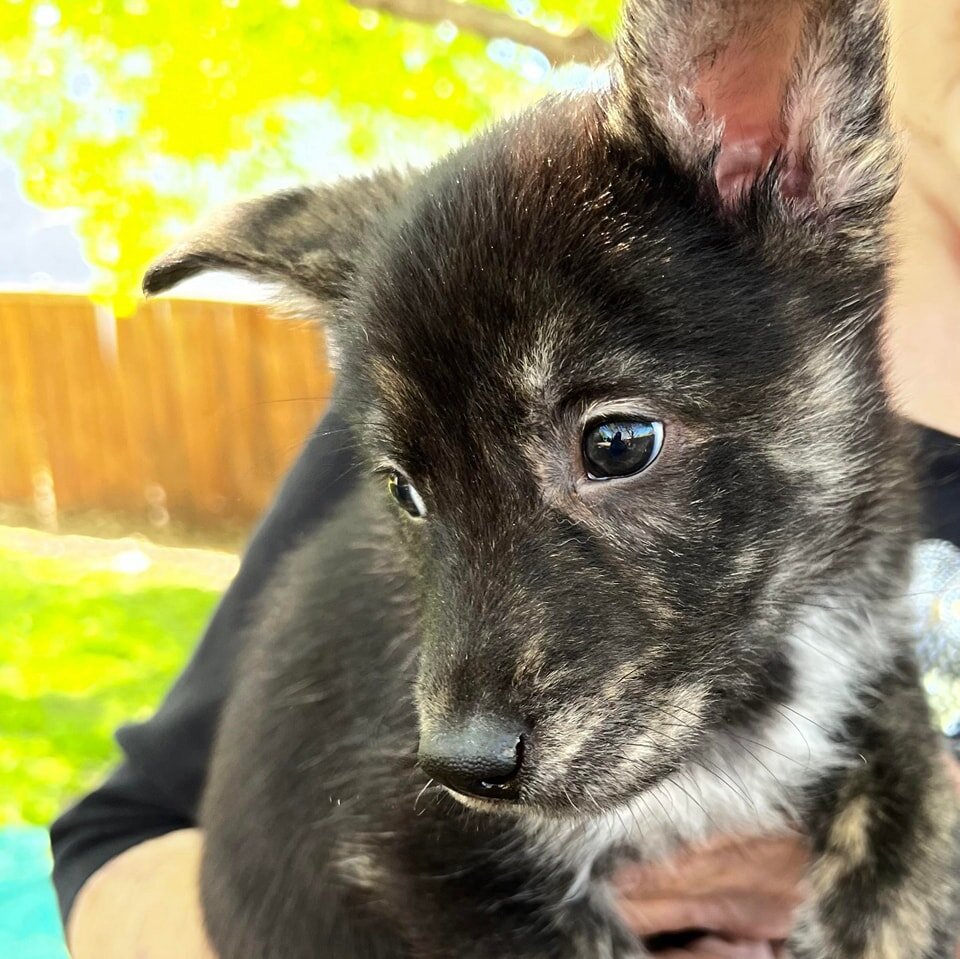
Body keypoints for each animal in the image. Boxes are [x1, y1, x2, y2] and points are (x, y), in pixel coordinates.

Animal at [142, 0, 960, 956]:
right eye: (404, 491)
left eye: (619, 443)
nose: (462, 765)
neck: (754, 690)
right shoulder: (394, 861)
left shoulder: (863, 657)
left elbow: (906, 774)